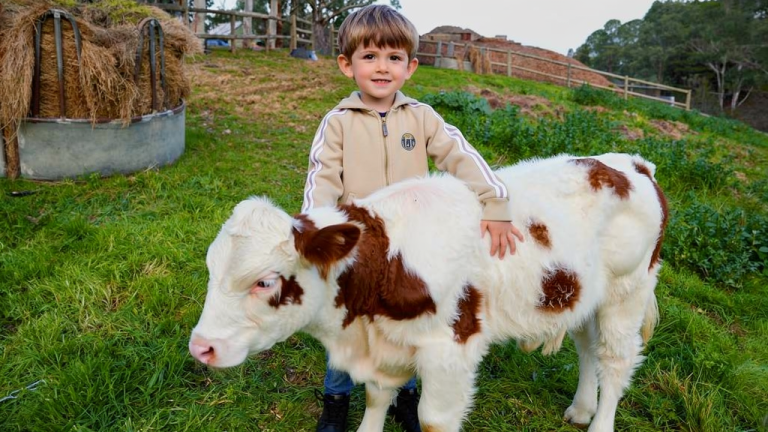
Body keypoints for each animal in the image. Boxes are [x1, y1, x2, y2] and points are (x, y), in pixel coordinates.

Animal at [189, 152, 668, 432]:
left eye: (265, 281)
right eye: (211, 268)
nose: (201, 347)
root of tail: (631, 162)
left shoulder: (451, 349)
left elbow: (433, 419)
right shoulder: (387, 343)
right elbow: (377, 397)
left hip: (628, 293)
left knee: (616, 360)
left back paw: (599, 421)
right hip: (586, 295)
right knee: (588, 348)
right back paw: (581, 409)